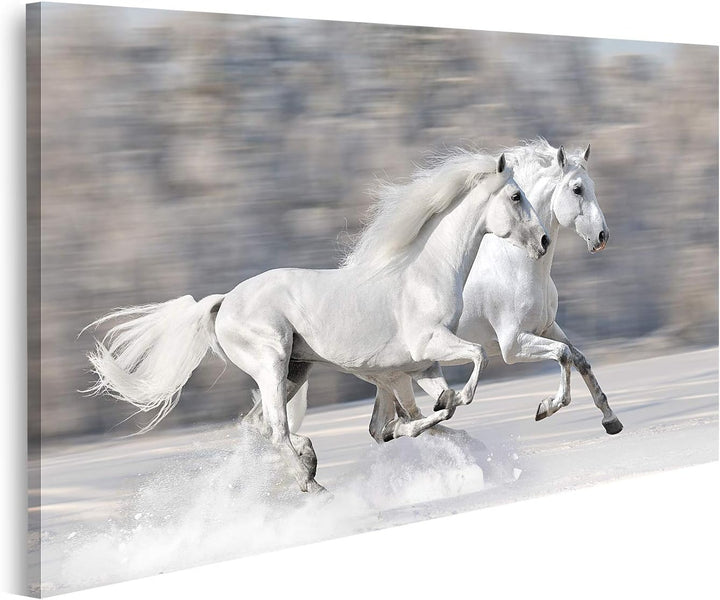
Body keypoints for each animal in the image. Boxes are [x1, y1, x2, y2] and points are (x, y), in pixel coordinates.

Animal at [85, 151, 550, 493]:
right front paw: (449, 407)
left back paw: (309, 462)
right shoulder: (427, 349)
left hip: (296, 370)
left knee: (259, 426)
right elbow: (474, 362)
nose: (544, 241)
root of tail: (223, 302)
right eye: (515, 196)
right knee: (274, 429)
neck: (424, 272)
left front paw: (449, 417)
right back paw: (313, 485)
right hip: (272, 363)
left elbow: (428, 412)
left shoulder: (419, 367)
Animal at [286, 140, 623, 444]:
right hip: (395, 374)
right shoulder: (513, 345)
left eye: (591, 185)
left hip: (391, 375)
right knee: (398, 420)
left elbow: (579, 359)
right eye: (577, 189)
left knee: (385, 426)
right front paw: (546, 407)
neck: (517, 265)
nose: (602, 236)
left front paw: (611, 420)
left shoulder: (547, 327)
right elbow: (563, 355)